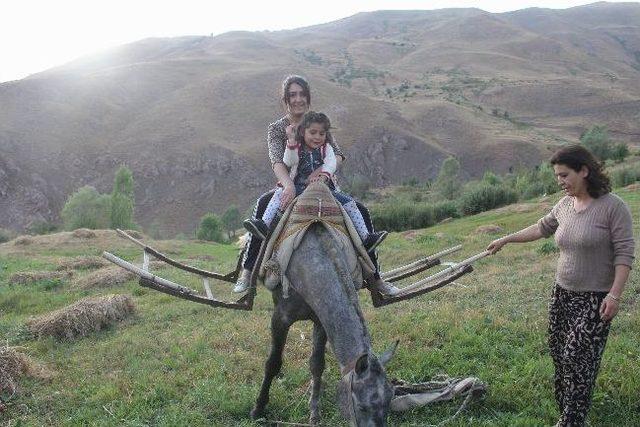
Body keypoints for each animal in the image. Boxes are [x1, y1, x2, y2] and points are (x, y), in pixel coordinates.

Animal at [250, 222, 396, 426]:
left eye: (391, 398)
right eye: (361, 407)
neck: (309, 269)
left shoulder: (320, 322)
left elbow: (316, 364)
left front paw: (314, 412)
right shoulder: (280, 319)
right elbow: (272, 363)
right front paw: (258, 409)